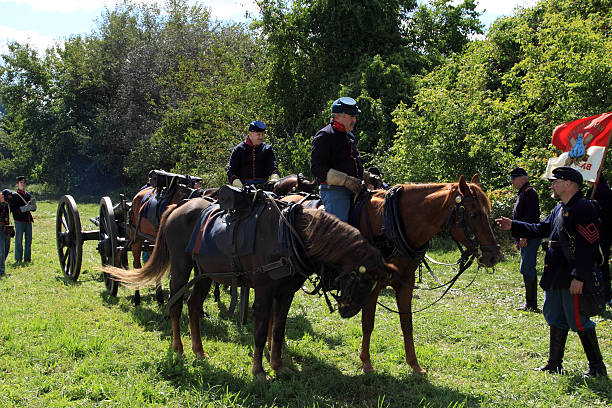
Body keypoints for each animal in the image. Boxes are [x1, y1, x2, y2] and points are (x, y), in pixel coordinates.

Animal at [105, 194, 396, 380]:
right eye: (364, 280)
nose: (349, 311)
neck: (291, 234)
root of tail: (178, 206)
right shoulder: (264, 291)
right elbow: (259, 330)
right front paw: (259, 371)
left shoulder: (285, 293)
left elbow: (277, 330)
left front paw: (278, 366)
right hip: (180, 267)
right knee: (176, 305)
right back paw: (179, 349)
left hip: (205, 273)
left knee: (193, 305)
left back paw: (199, 351)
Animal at [282, 174, 502, 374]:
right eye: (474, 214)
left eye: (488, 212)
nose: (494, 255)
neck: (390, 224)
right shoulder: (371, 286)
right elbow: (368, 323)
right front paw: (366, 362)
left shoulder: (405, 282)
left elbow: (407, 324)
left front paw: (414, 364)